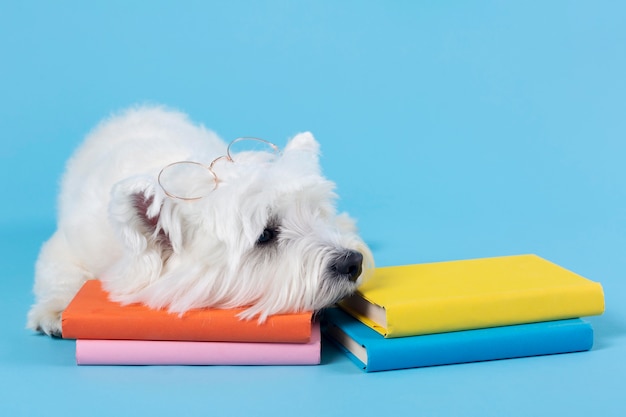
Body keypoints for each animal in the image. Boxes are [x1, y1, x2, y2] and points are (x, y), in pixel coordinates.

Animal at [26, 106, 372, 334]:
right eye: (265, 235)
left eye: (317, 213)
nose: (353, 262)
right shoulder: (68, 244)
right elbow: (58, 271)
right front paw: (57, 309)